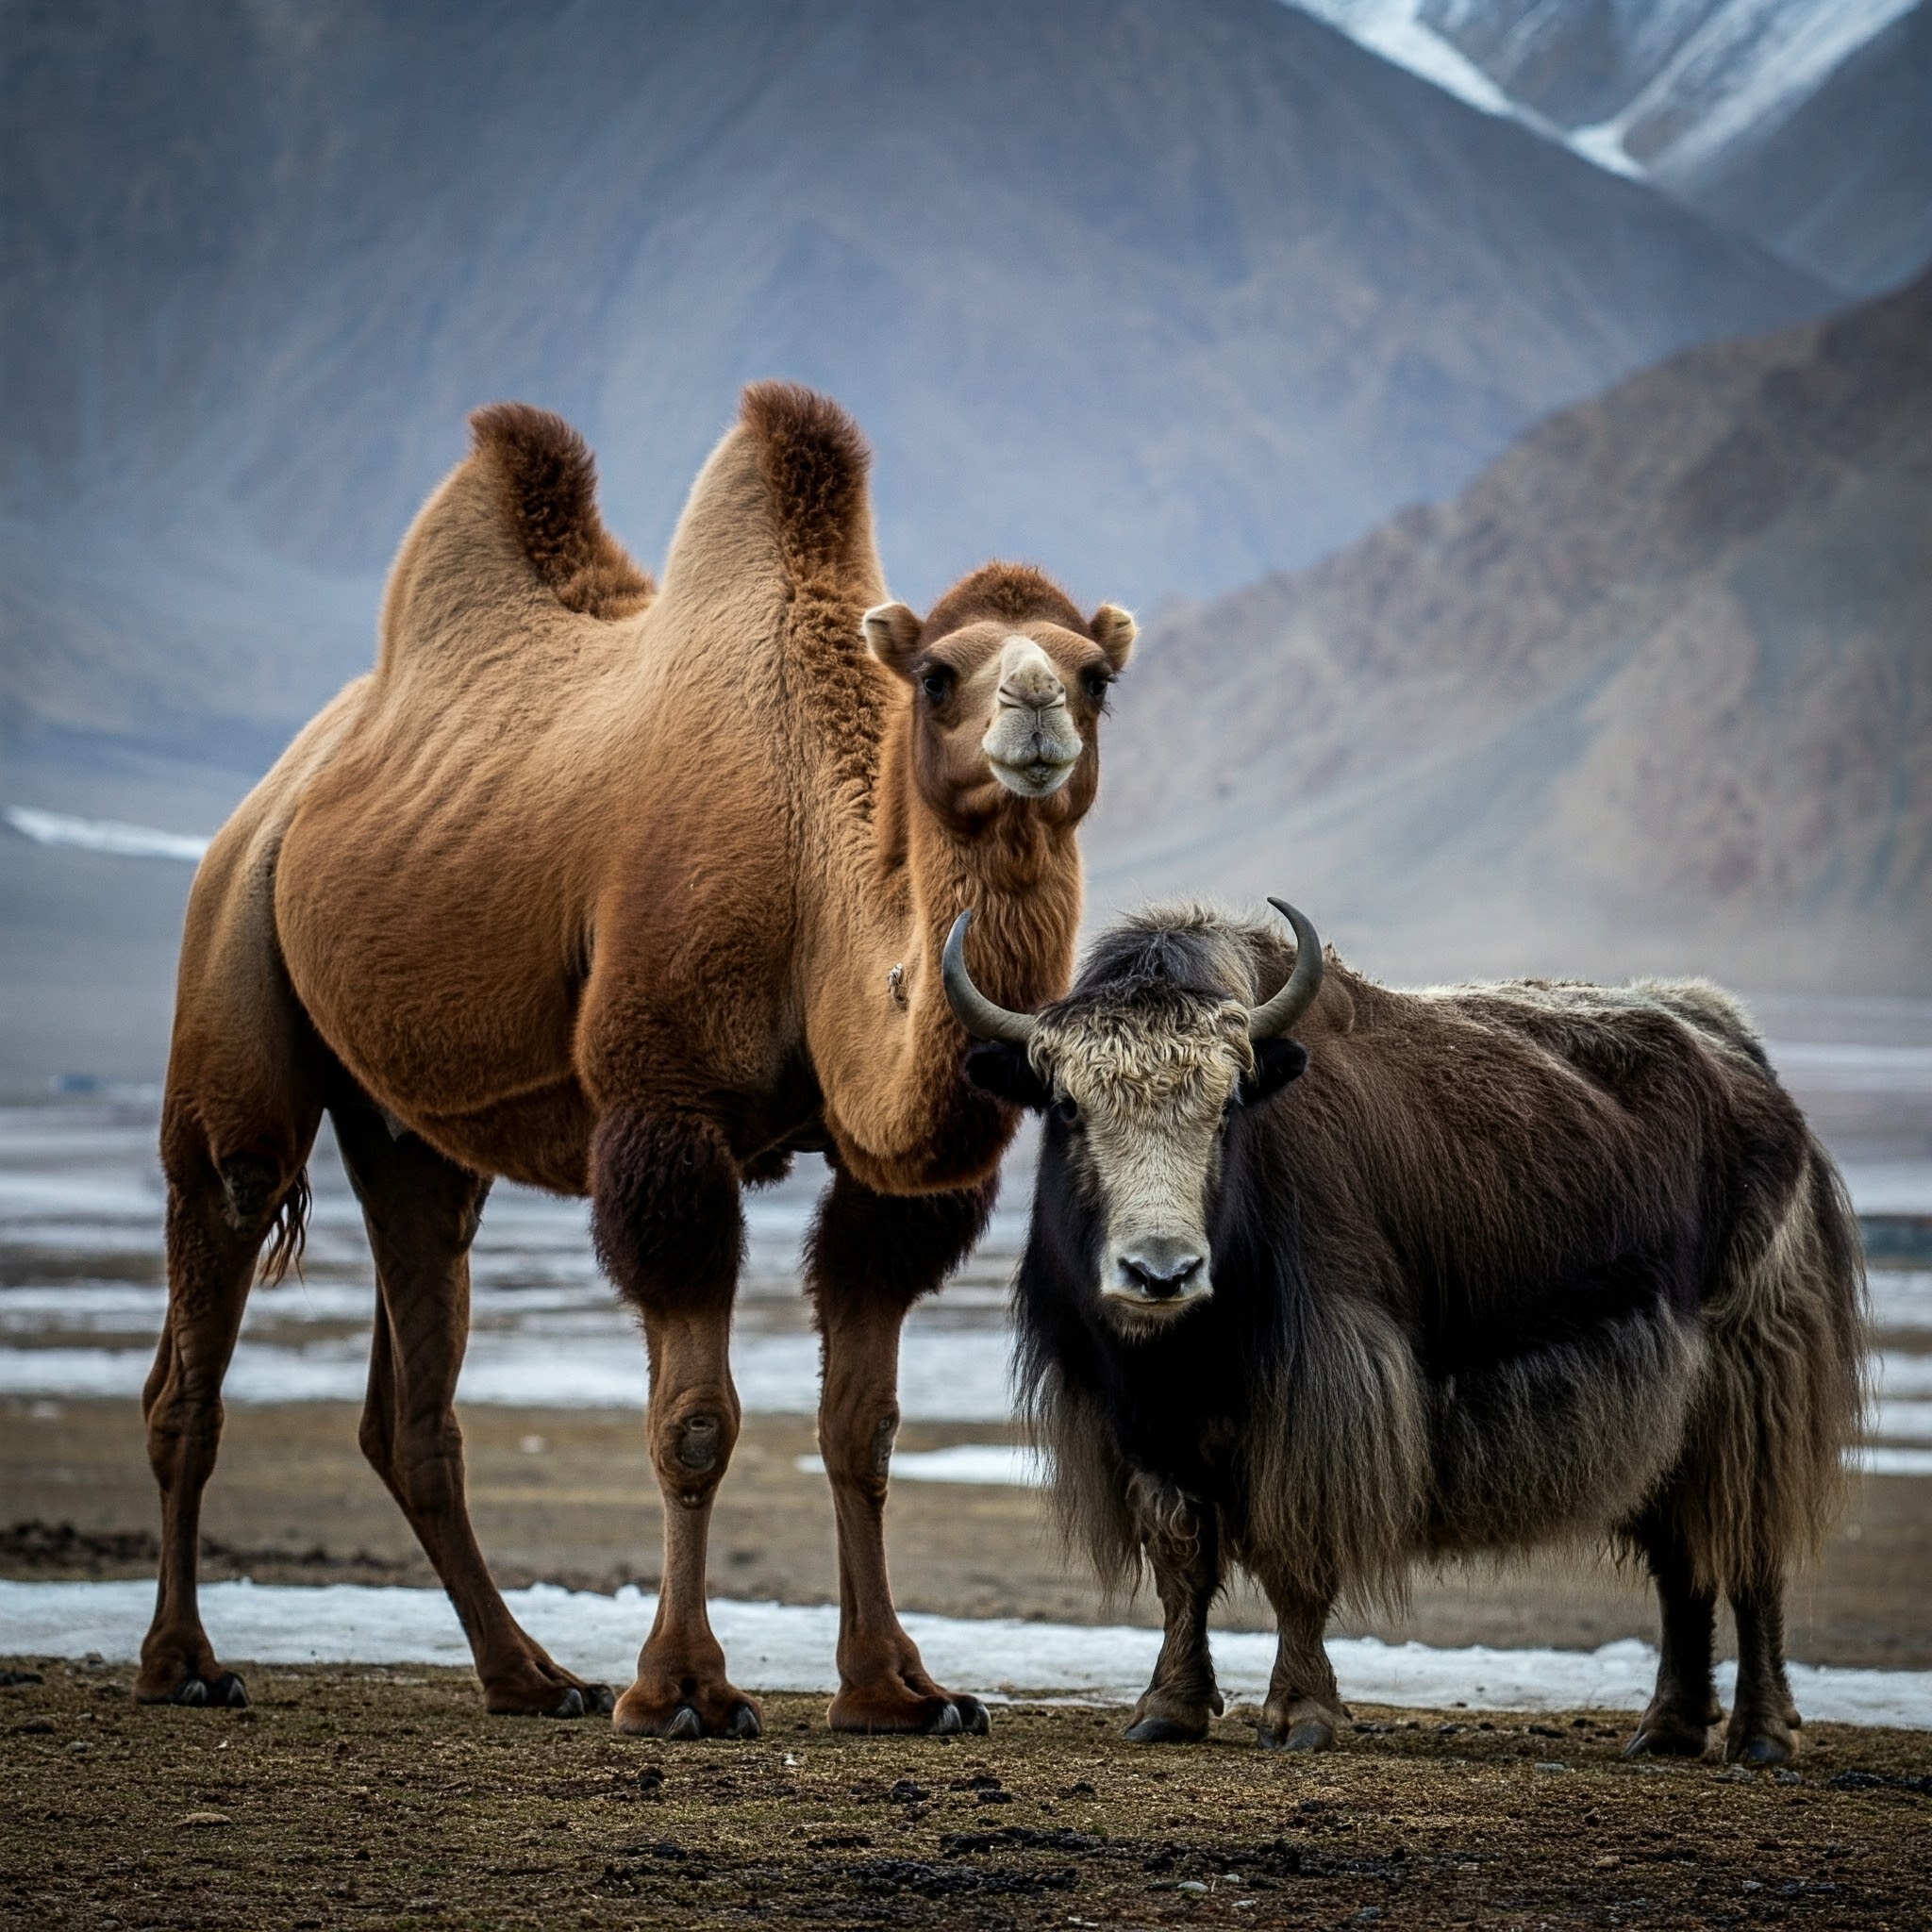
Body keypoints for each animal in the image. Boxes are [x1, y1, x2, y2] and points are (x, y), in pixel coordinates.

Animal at [146, 388, 1128, 1739]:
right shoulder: (662, 1105)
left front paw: (897, 1687)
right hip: (233, 938)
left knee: (414, 1369)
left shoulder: (884, 1176)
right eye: (937, 674)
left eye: (1097, 676)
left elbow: (861, 1424)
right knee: (217, 1244)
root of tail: (286, 781)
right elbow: (695, 1422)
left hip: (409, 1123)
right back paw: (184, 1662)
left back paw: (529, 1675)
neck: (811, 873)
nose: (1033, 712)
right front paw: (684, 1690)